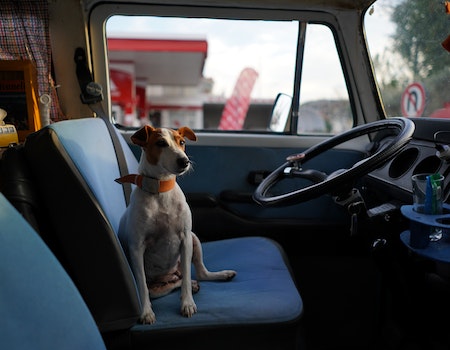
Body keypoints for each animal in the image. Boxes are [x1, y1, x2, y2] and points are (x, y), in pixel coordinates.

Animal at [116, 124, 237, 324]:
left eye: (182, 142)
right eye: (160, 143)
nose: (184, 161)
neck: (161, 189)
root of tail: (171, 275)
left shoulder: (185, 239)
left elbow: (187, 275)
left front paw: (187, 303)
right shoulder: (136, 248)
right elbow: (141, 286)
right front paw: (145, 312)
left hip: (194, 240)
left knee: (198, 274)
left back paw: (218, 275)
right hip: (158, 286)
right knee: (167, 285)